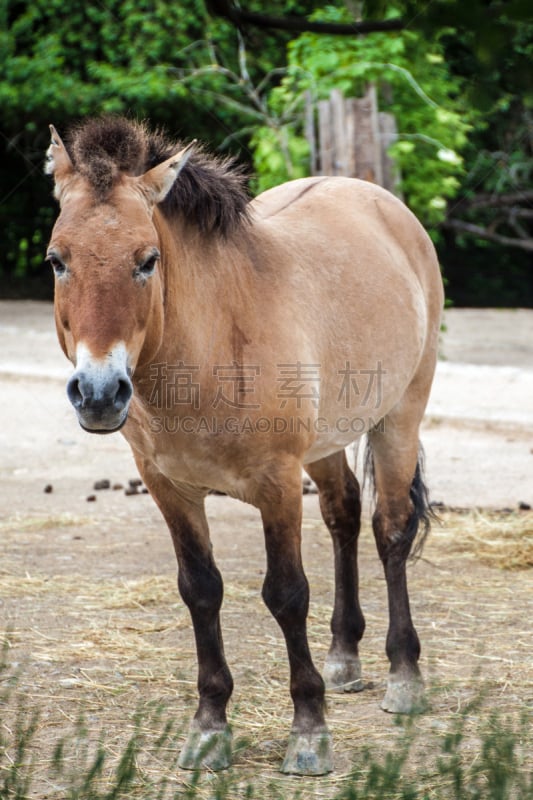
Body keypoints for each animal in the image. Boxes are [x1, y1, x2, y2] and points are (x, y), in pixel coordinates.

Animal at [45, 117, 442, 776]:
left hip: (400, 416)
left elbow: (286, 595)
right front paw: (210, 728)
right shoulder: (169, 489)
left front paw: (308, 732)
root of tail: (384, 204)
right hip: (326, 446)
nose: (98, 393)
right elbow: (201, 591)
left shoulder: (276, 484)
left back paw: (404, 677)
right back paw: (345, 658)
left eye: (147, 260)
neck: (210, 349)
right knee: (343, 514)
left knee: (390, 530)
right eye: (57, 261)